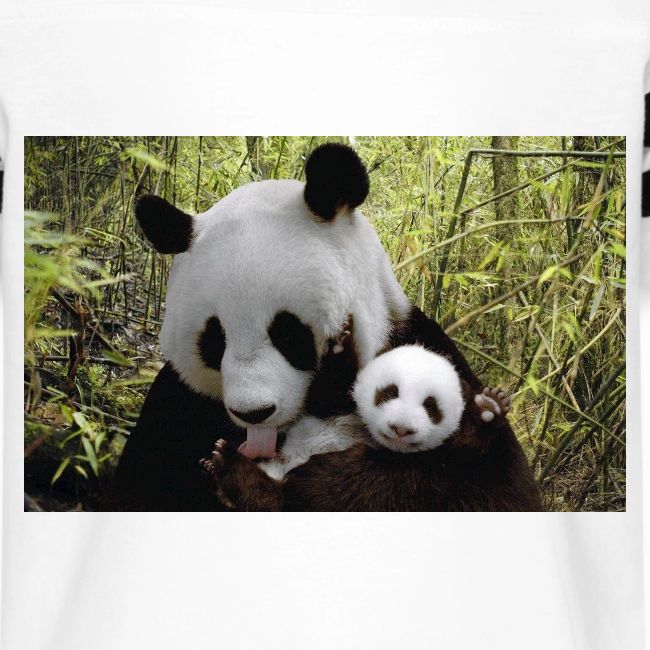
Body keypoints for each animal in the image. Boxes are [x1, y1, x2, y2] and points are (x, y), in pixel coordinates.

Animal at [110, 143, 540, 512]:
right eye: (215, 340)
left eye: (288, 333)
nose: (254, 413)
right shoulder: (179, 403)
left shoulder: (420, 346)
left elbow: (489, 487)